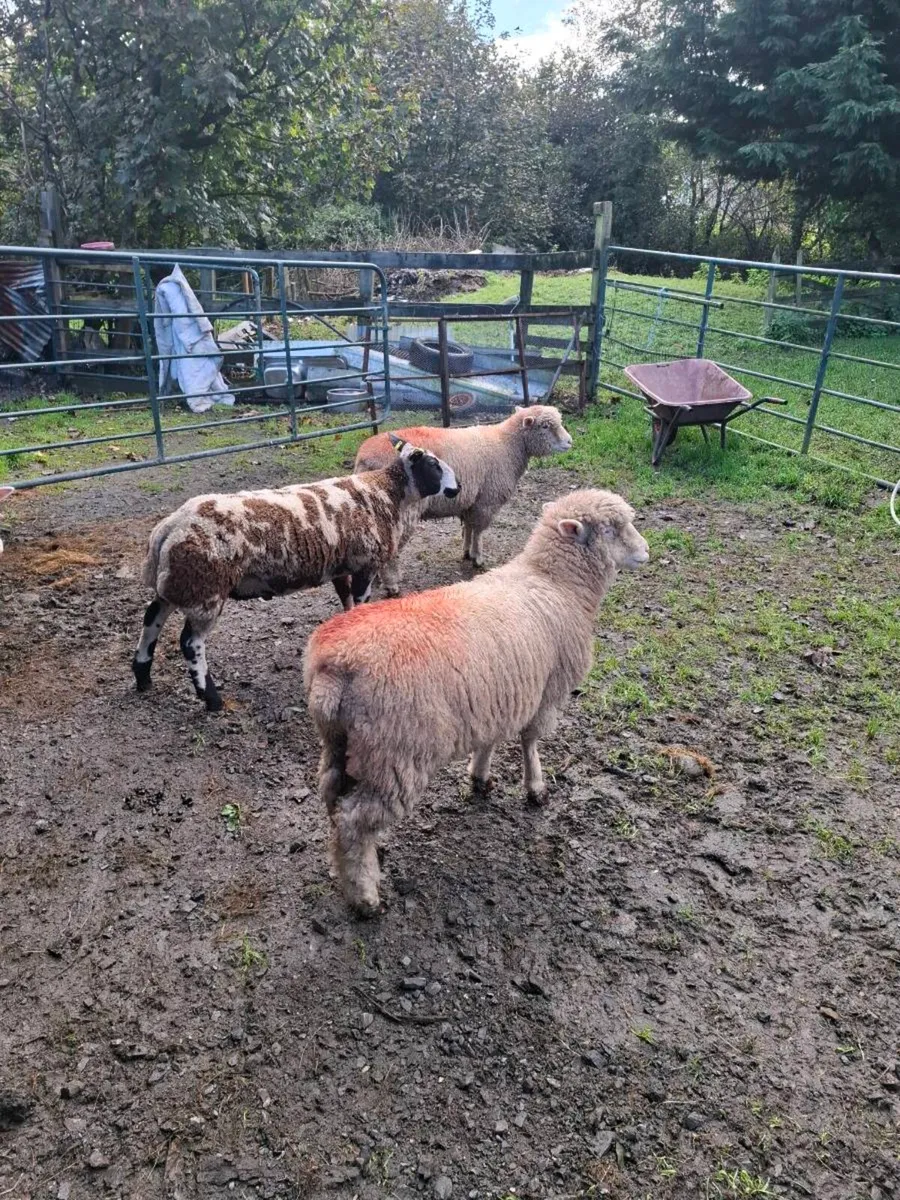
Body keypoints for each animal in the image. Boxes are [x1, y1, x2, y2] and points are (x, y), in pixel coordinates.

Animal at [131, 437, 459, 712]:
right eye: (433, 465)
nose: (456, 489)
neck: (387, 492)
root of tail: (169, 528)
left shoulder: (341, 566)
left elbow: (346, 602)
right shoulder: (365, 563)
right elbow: (360, 602)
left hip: (177, 582)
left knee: (152, 619)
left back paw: (143, 676)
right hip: (205, 588)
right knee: (190, 642)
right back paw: (211, 699)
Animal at [303, 487, 650, 916]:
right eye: (612, 529)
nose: (646, 550)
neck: (554, 582)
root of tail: (331, 667)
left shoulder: (495, 696)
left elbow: (489, 740)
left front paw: (480, 778)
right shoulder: (547, 692)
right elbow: (530, 742)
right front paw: (536, 788)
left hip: (340, 744)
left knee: (334, 805)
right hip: (394, 754)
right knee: (354, 822)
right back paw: (365, 898)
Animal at [353, 405, 573, 594]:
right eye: (545, 426)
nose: (570, 442)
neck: (508, 445)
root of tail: (363, 458)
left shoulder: (470, 500)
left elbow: (468, 527)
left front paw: (467, 552)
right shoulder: (487, 501)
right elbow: (479, 531)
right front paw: (478, 558)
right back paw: (391, 585)